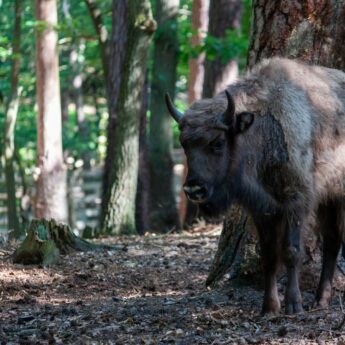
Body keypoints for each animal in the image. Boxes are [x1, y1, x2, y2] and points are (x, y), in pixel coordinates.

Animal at [164, 57, 344, 314]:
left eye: (217, 142)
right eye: (184, 144)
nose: (193, 190)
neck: (261, 131)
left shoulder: (296, 202)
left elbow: (291, 252)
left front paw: (294, 305)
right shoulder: (262, 210)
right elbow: (269, 256)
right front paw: (269, 308)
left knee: (332, 239)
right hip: (330, 199)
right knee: (332, 240)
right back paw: (321, 300)